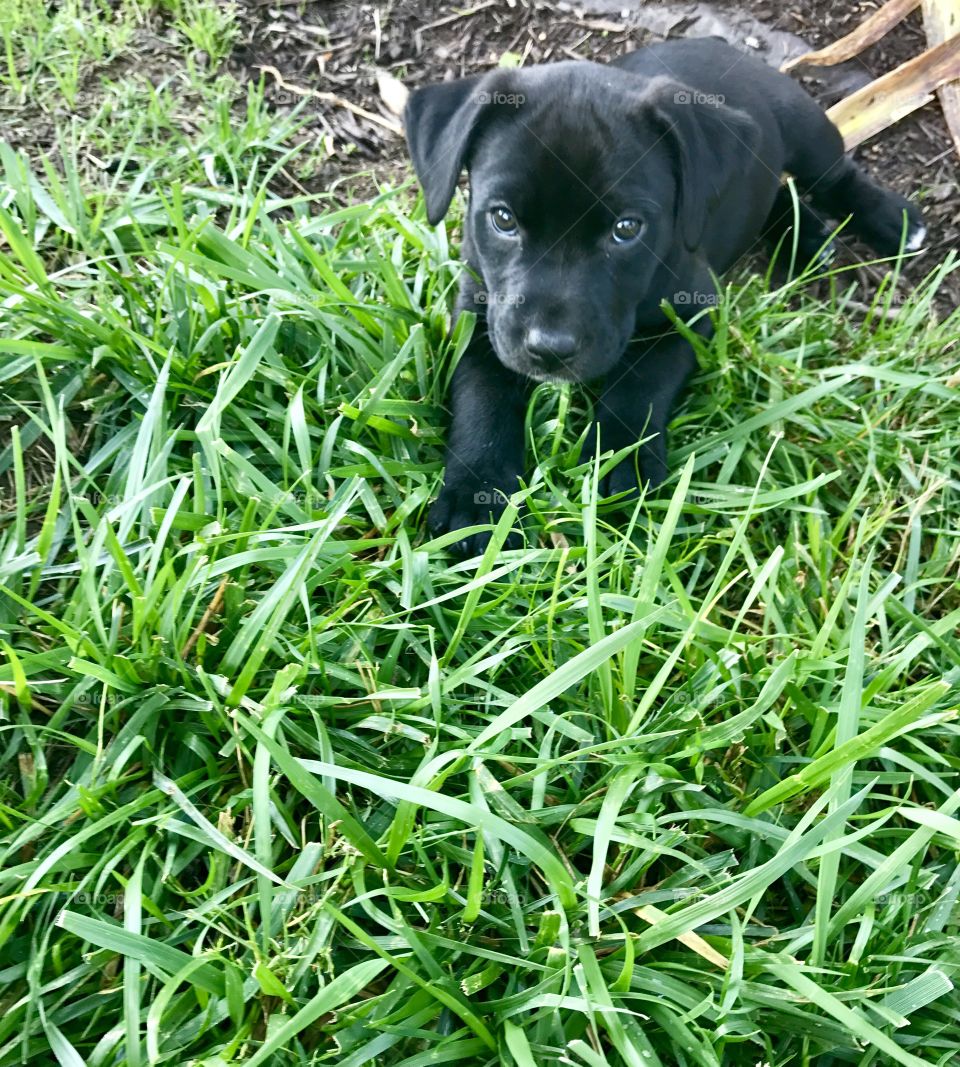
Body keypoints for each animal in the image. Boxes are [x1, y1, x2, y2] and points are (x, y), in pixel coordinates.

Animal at [403, 37, 921, 554]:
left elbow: (640, 385)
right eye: (503, 219)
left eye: (626, 229)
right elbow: (481, 396)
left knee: (836, 176)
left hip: (807, 130)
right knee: (775, 191)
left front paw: (622, 466)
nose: (549, 349)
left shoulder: (686, 317)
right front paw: (476, 496)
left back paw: (892, 221)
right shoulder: (480, 318)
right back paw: (806, 235)